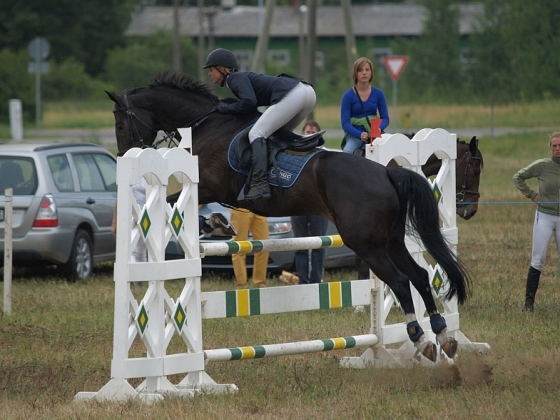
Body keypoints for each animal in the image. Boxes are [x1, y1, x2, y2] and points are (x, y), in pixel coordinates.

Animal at [108, 72, 476, 360]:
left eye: (120, 121)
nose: (124, 154)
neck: (206, 124)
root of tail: (386, 172)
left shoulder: (211, 188)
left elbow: (177, 203)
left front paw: (215, 224)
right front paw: (217, 224)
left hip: (367, 244)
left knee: (400, 281)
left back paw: (420, 337)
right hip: (391, 240)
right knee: (419, 275)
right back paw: (442, 336)